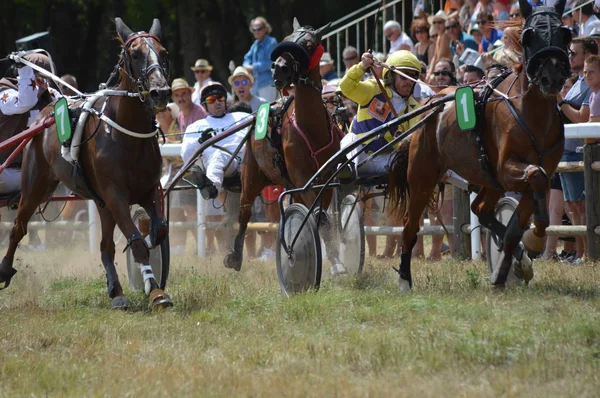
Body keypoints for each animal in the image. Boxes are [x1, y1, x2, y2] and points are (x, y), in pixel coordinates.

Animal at [0, 17, 173, 310]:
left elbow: (157, 230)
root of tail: (43, 117)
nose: (160, 92)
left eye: (163, 53)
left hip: (99, 202)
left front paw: (152, 282)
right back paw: (4, 269)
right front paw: (156, 292)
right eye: (135, 54)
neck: (126, 134)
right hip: (34, 187)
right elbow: (136, 242)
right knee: (18, 228)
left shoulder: (147, 189)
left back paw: (117, 292)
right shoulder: (115, 194)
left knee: (105, 246)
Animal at [223, 18, 344, 274]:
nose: (278, 68)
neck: (312, 128)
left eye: (308, 44)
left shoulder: (326, 179)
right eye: (287, 37)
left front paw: (336, 260)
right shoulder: (302, 178)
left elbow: (322, 215)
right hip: (251, 175)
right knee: (245, 211)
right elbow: (316, 215)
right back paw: (235, 257)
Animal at [390, 0, 572, 292]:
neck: (532, 113)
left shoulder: (538, 172)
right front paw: (533, 242)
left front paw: (512, 266)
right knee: (410, 225)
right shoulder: (508, 168)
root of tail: (433, 103)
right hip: (422, 175)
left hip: (487, 179)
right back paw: (405, 279)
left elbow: (518, 223)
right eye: (529, 34)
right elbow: (535, 176)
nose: (552, 78)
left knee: (481, 209)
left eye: (564, 33)